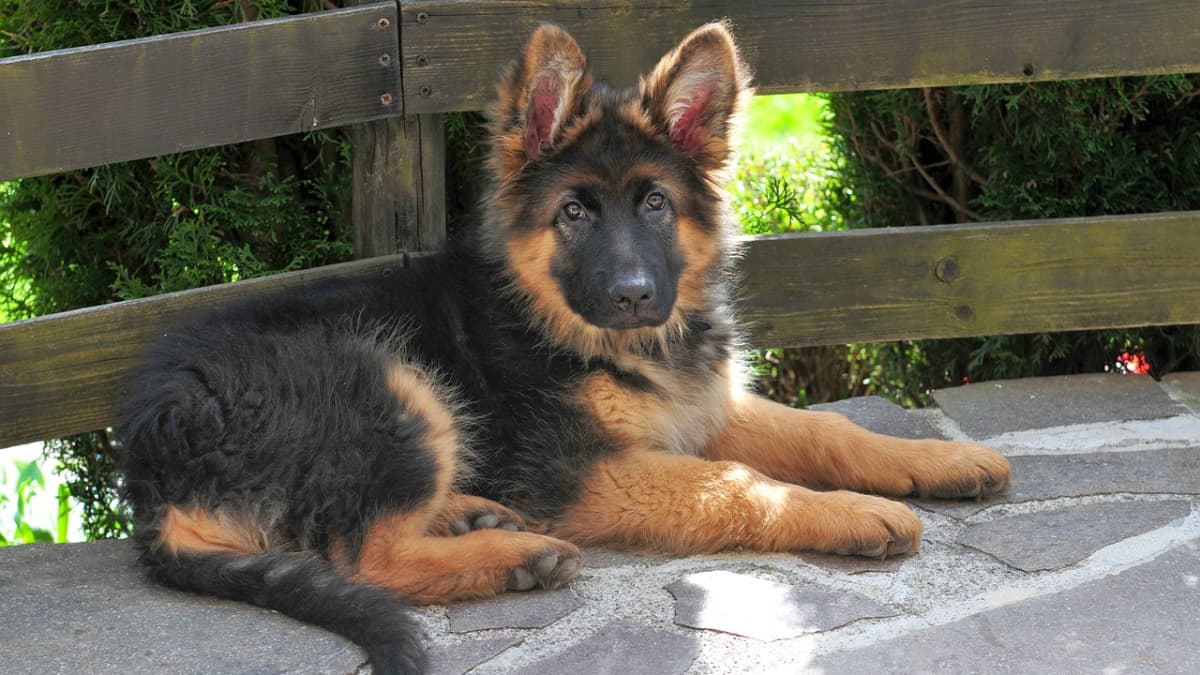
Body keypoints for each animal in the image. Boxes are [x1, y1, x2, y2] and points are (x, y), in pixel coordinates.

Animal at [121, 22, 1008, 672]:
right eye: (574, 214)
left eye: (655, 204)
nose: (633, 294)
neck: (585, 329)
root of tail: (150, 465)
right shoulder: (581, 469)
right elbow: (735, 482)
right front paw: (854, 511)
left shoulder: (702, 408)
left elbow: (828, 429)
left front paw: (937, 459)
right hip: (388, 379)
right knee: (366, 555)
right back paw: (518, 553)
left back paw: (470, 512)